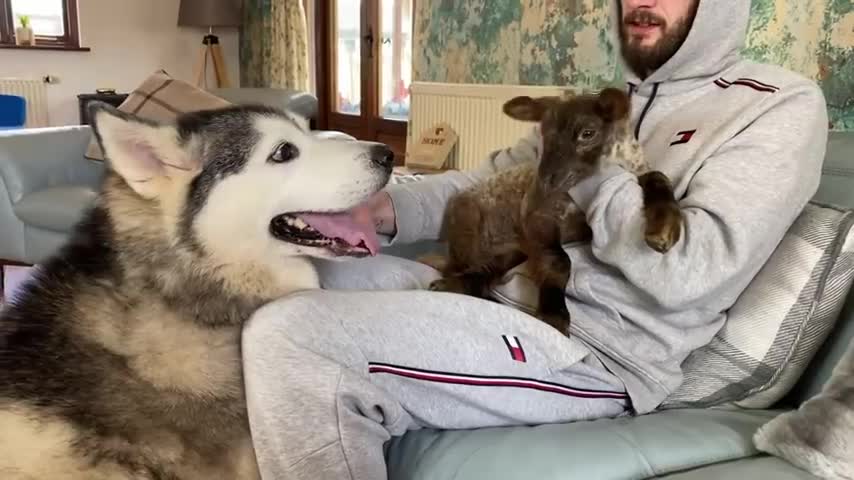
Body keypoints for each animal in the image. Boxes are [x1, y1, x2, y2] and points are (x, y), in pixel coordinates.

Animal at [426, 88, 684, 332]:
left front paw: (664, 229)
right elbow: (559, 260)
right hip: (468, 224)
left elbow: (658, 177)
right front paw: (554, 316)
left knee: (489, 269)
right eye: (544, 134)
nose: (545, 182)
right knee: (461, 267)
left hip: (512, 249)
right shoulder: (537, 214)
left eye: (587, 133)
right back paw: (450, 283)